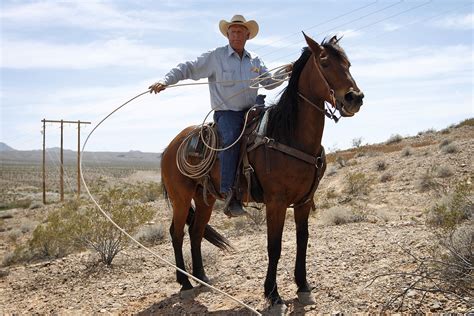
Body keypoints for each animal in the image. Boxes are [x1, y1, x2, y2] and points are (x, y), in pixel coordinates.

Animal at [161, 32, 364, 308]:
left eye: (348, 64)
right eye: (324, 62)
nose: (355, 97)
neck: (289, 135)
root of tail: (170, 147)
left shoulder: (304, 201)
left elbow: (302, 241)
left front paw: (303, 286)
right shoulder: (276, 202)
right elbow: (274, 246)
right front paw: (273, 293)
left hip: (205, 199)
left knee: (196, 231)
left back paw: (202, 277)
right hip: (180, 198)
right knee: (177, 233)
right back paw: (185, 283)